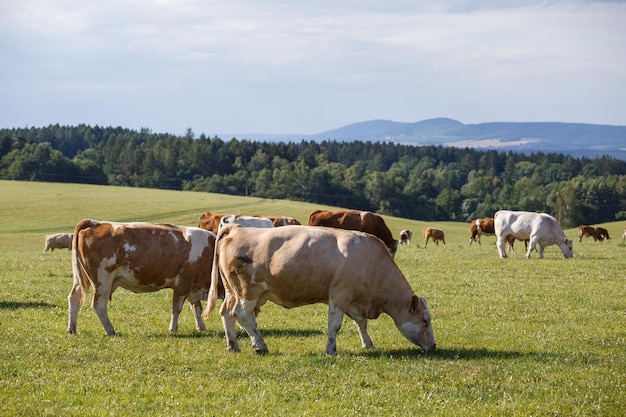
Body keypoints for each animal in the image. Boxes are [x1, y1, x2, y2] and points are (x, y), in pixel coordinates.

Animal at [67, 219, 216, 336]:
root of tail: (95, 223)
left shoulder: (193, 286)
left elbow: (196, 308)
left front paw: (201, 327)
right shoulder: (183, 283)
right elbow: (177, 309)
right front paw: (173, 328)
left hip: (82, 278)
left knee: (74, 297)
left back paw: (72, 329)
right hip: (102, 280)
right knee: (99, 305)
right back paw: (110, 330)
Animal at [205, 224, 434, 354]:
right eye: (425, 321)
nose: (434, 346)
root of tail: (237, 228)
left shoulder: (352, 300)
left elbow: (360, 322)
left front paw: (368, 343)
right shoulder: (339, 295)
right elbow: (335, 325)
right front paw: (331, 349)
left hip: (233, 291)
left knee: (227, 313)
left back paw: (233, 346)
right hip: (248, 292)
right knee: (242, 315)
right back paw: (260, 346)